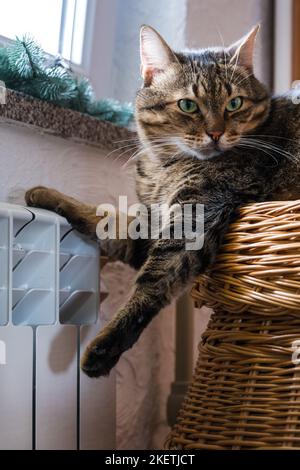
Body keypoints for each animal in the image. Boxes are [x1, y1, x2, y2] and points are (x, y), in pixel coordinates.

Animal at [25, 25, 300, 378]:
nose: (216, 133)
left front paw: (105, 347)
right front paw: (42, 193)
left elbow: (151, 281)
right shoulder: (149, 225)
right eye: (188, 105)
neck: (163, 165)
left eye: (235, 103)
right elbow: (104, 218)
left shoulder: (193, 218)